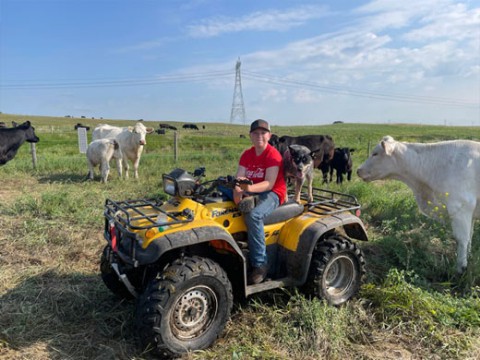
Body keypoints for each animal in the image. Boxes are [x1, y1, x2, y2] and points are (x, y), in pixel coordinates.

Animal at [356, 136, 480, 272]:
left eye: (375, 153)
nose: (358, 170)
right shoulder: (470, 212)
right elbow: (469, 238)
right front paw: (468, 257)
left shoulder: (460, 207)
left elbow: (461, 239)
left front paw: (461, 268)